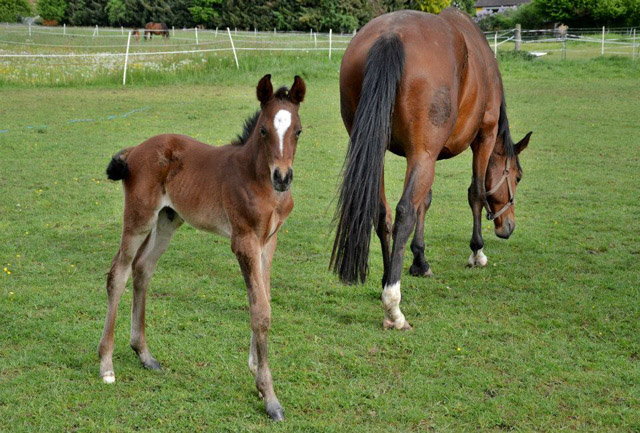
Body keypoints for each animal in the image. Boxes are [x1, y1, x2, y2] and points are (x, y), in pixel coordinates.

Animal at [98, 73, 308, 418]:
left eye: (298, 131)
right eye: (264, 130)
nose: (283, 177)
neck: (257, 178)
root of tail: (136, 149)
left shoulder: (268, 241)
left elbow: (262, 300)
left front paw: (255, 371)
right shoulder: (243, 240)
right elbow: (260, 311)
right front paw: (270, 396)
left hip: (168, 219)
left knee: (143, 269)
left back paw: (144, 354)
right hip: (139, 218)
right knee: (119, 272)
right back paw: (106, 363)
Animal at [332, 8, 532, 330]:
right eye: (517, 176)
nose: (508, 227)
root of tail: (391, 34)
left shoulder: (430, 155)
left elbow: (424, 202)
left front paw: (419, 260)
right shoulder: (484, 136)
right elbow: (476, 193)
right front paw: (477, 252)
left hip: (378, 147)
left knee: (382, 213)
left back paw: (387, 280)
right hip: (423, 154)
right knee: (403, 213)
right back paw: (393, 306)